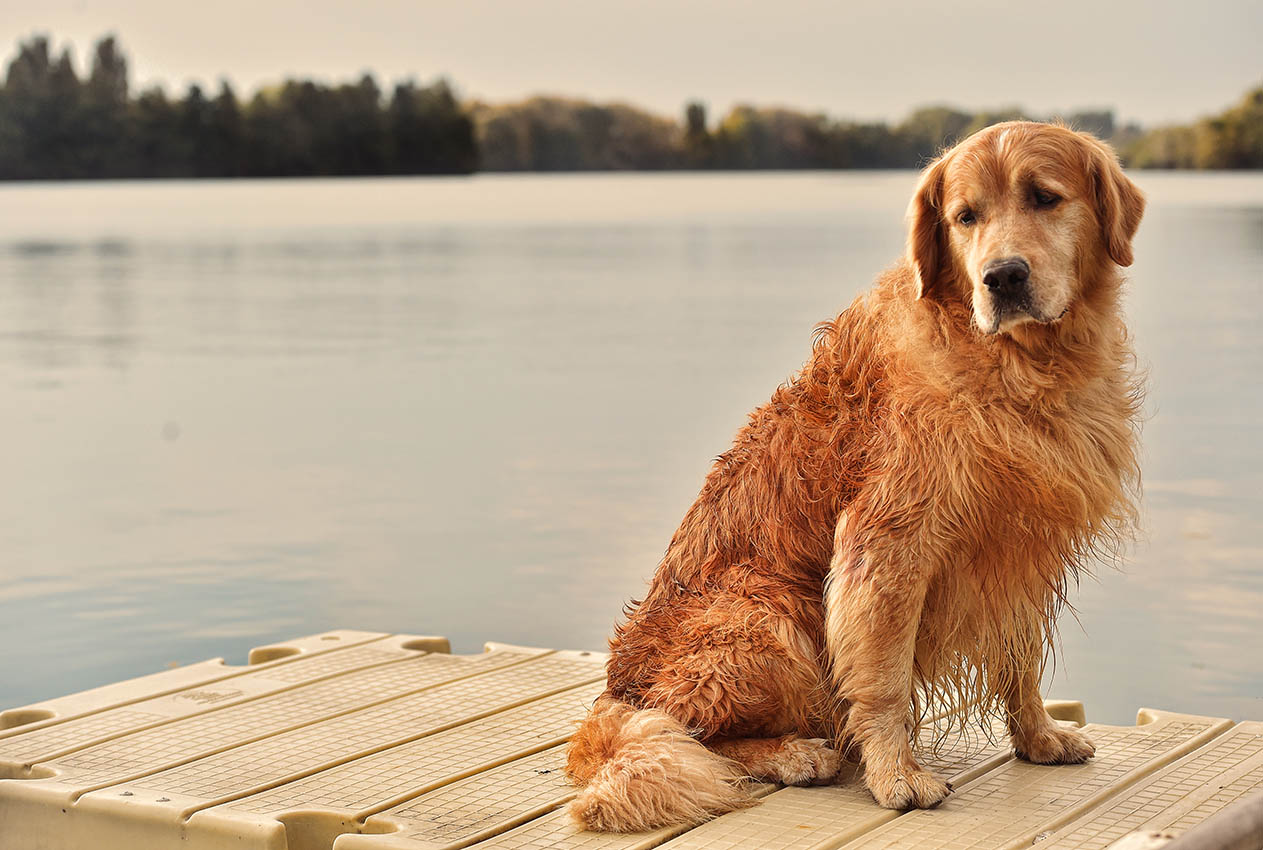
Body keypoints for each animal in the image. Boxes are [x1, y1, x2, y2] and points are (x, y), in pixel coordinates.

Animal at [563, 122, 1146, 833]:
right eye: (966, 217)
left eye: (1045, 197)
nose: (1002, 277)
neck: (1018, 367)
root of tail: (615, 688)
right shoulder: (888, 542)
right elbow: (884, 677)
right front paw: (897, 775)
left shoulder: (1020, 545)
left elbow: (1021, 657)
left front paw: (1038, 737)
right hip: (770, 616)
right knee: (691, 730)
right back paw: (794, 754)